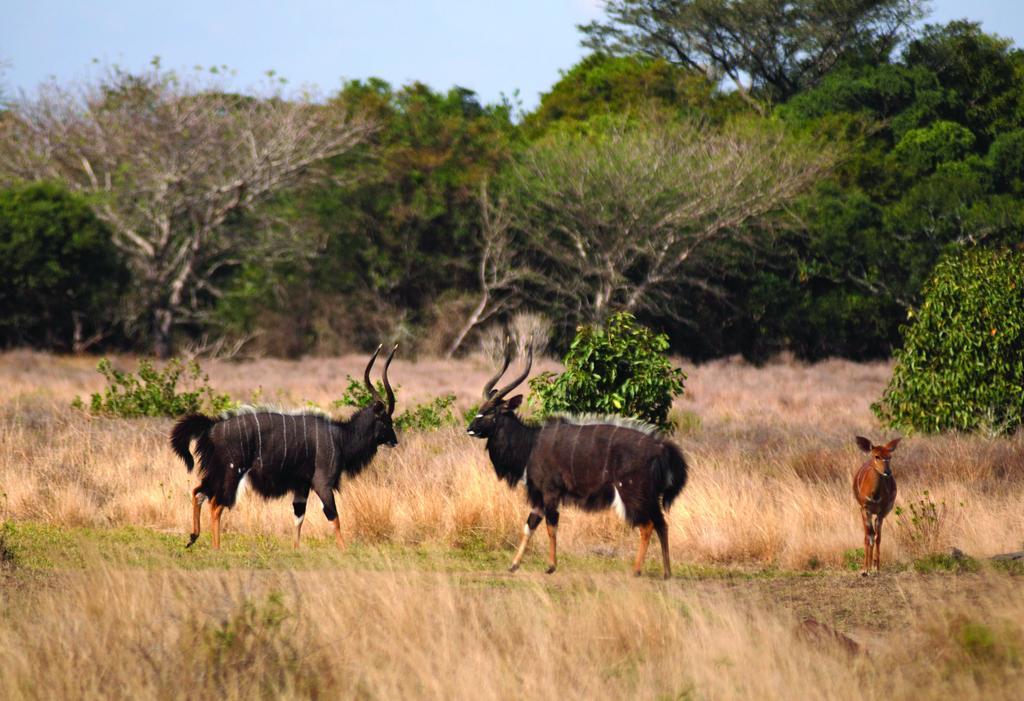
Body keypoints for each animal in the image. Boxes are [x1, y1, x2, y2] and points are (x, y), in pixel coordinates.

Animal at [169, 343, 397, 548]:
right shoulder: (322, 483)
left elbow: (299, 516)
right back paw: (217, 548)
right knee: (216, 504)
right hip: (232, 473)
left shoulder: (301, 485)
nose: (395, 441)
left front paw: (296, 550)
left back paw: (193, 537)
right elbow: (334, 517)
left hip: (216, 473)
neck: (340, 436)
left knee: (198, 492)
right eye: (386, 421)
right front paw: (344, 551)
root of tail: (211, 426)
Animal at [468, 341, 692, 577]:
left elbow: (551, 525)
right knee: (662, 524)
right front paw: (513, 565)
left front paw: (551, 566)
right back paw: (667, 573)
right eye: (481, 409)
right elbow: (529, 525)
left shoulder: (550, 492)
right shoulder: (538, 496)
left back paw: (637, 570)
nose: (470, 429)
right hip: (651, 497)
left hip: (632, 494)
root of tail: (663, 448)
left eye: (491, 411)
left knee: (647, 526)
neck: (530, 444)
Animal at [851, 437, 901, 573]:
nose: (887, 472)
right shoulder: (865, 509)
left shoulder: (881, 512)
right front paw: (865, 570)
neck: (874, 495)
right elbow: (868, 536)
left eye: (890, 456)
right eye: (877, 456)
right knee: (869, 535)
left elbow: (878, 537)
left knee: (875, 535)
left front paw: (877, 568)